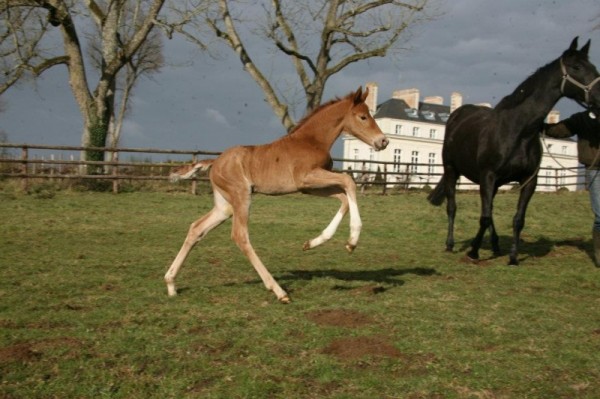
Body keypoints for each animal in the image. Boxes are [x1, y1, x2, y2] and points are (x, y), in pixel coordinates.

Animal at [164, 87, 390, 304]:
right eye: (363, 117)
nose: (384, 141)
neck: (311, 140)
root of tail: (215, 162)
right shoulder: (307, 178)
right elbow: (349, 181)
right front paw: (352, 241)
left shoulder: (309, 187)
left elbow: (344, 198)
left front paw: (312, 243)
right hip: (241, 196)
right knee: (239, 235)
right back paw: (279, 291)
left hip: (224, 206)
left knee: (197, 228)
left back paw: (171, 284)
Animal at [428, 38, 600, 266]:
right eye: (577, 67)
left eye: (594, 67)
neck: (518, 130)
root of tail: (456, 116)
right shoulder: (488, 175)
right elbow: (483, 217)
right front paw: (473, 252)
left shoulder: (528, 180)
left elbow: (517, 219)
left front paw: (513, 257)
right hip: (451, 171)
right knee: (453, 207)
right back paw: (450, 244)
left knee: (489, 211)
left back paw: (495, 245)